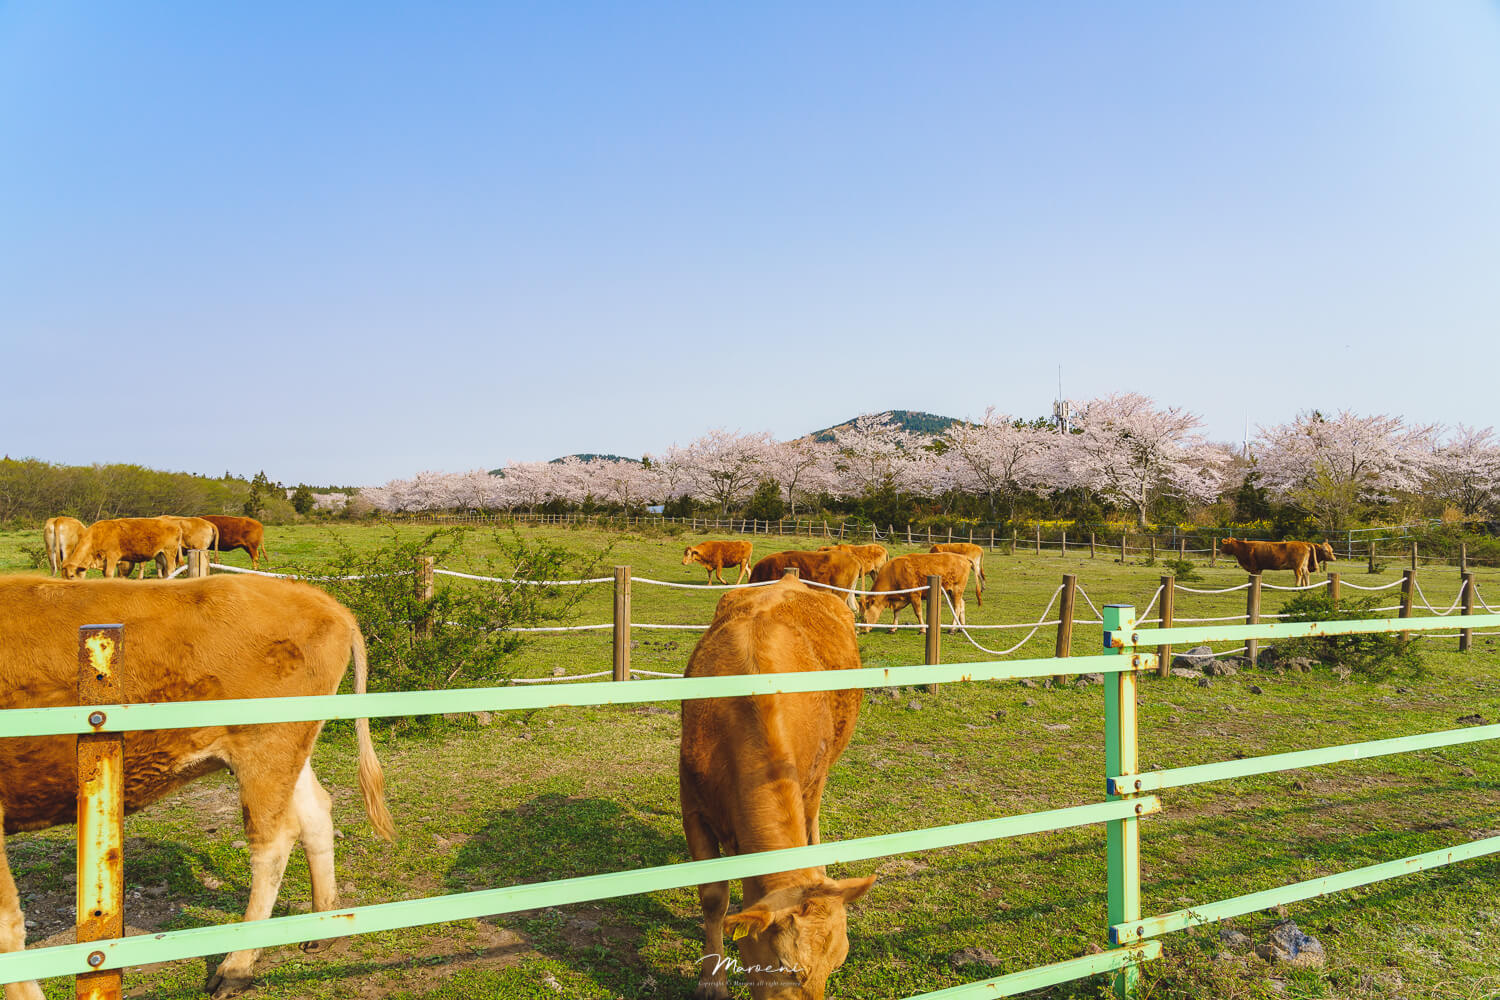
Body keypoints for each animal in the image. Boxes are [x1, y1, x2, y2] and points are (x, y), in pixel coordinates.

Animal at [0, 569, 396, 1000]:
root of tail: (322, 600)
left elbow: (8, 928)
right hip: (291, 748)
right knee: (315, 812)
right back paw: (323, 924)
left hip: (266, 746)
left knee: (273, 841)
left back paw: (237, 966)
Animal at [678, 578, 876, 1000]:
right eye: (785, 966)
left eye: (838, 962)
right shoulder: (693, 806)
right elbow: (714, 897)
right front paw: (712, 984)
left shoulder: (807, 784)